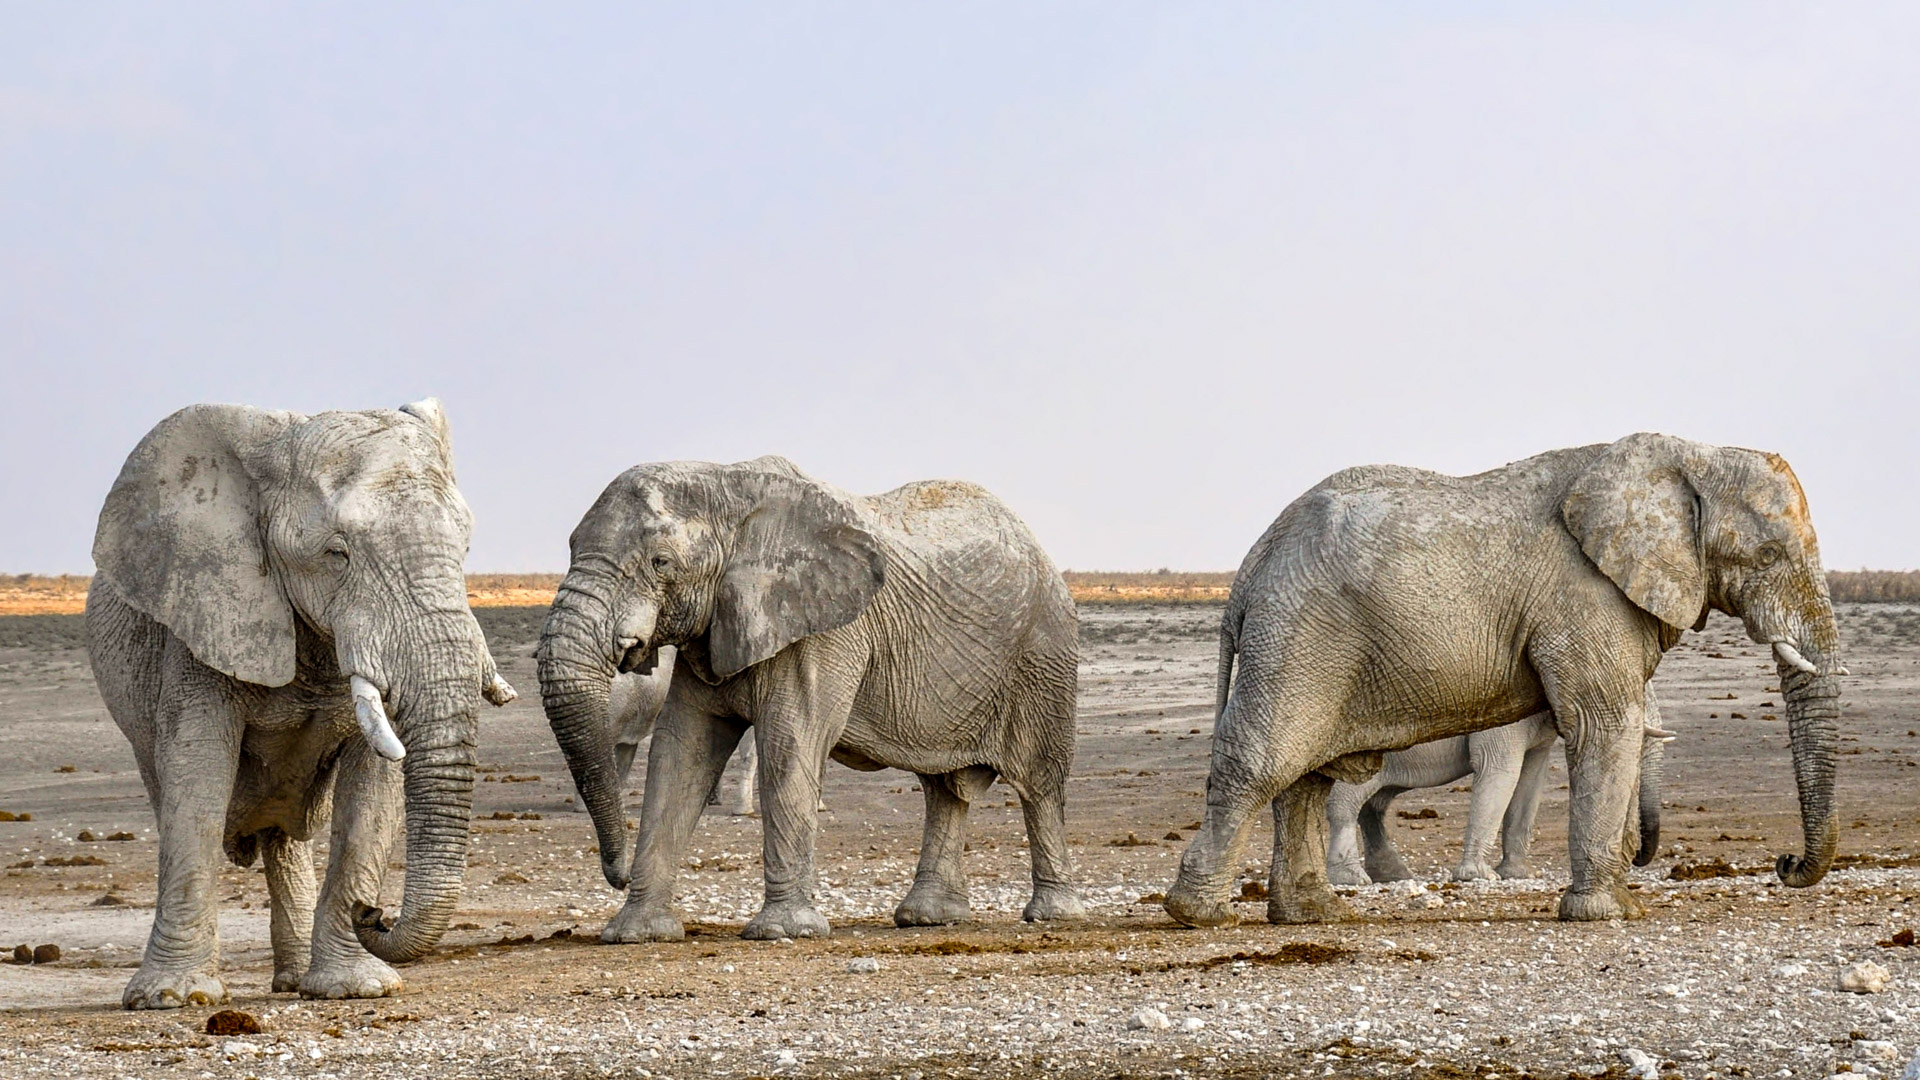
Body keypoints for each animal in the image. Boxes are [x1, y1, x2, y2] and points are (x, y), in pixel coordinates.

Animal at [86, 400, 516, 1008]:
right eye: (336, 554)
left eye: (465, 549)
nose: (376, 912)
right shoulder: (203, 616)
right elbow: (197, 774)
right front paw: (173, 998)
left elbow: (373, 789)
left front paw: (356, 988)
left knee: (284, 839)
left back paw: (293, 982)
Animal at [537, 456, 1084, 942]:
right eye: (571, 547)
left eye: (661, 562)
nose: (618, 875)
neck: (728, 484)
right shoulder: (713, 629)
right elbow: (681, 753)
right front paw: (637, 934)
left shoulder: (825, 631)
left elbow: (790, 741)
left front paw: (783, 932)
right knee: (944, 790)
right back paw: (929, 919)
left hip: (1045, 653)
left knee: (1039, 781)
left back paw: (1053, 915)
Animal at [1324, 697, 1673, 886]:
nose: (1636, 856)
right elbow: (1500, 771)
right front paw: (1480, 876)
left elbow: (1530, 780)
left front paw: (1518, 875)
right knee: (1348, 802)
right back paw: (1352, 879)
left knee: (1374, 805)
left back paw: (1393, 876)